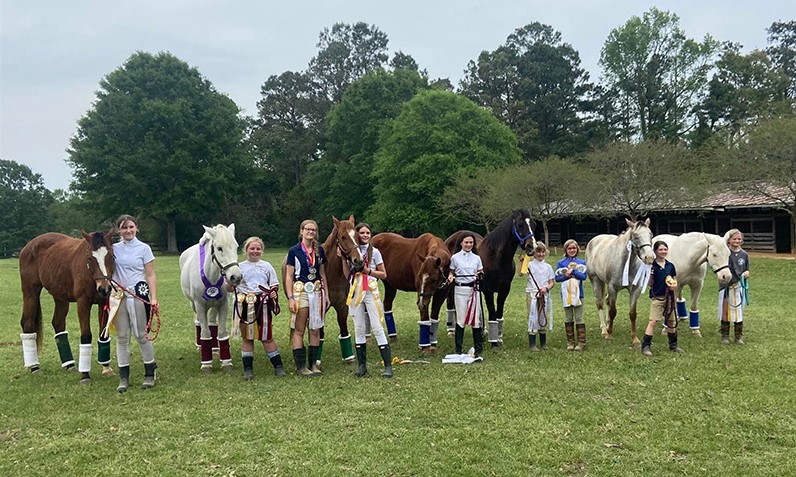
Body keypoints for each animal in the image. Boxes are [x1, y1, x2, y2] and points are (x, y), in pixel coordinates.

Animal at [18, 231, 116, 384]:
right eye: (90, 258)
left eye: (111, 255)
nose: (104, 288)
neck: (89, 274)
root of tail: (28, 246)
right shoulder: (83, 302)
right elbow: (86, 335)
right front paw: (85, 375)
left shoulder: (103, 302)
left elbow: (103, 335)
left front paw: (106, 368)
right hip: (30, 292)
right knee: (27, 323)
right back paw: (34, 367)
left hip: (60, 296)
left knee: (58, 323)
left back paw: (69, 364)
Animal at [179, 223, 241, 372]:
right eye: (219, 248)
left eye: (236, 247)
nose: (236, 277)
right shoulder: (200, 305)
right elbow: (205, 332)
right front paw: (206, 364)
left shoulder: (223, 304)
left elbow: (222, 332)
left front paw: (226, 362)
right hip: (194, 304)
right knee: (198, 323)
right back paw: (200, 346)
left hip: (214, 304)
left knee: (213, 323)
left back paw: (214, 348)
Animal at [444, 210, 536, 348]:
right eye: (520, 225)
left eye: (534, 224)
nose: (532, 246)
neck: (497, 258)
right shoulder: (488, 290)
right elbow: (492, 312)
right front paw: (494, 342)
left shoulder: (504, 289)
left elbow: (499, 313)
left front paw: (498, 338)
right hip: (453, 283)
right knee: (451, 301)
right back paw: (451, 330)